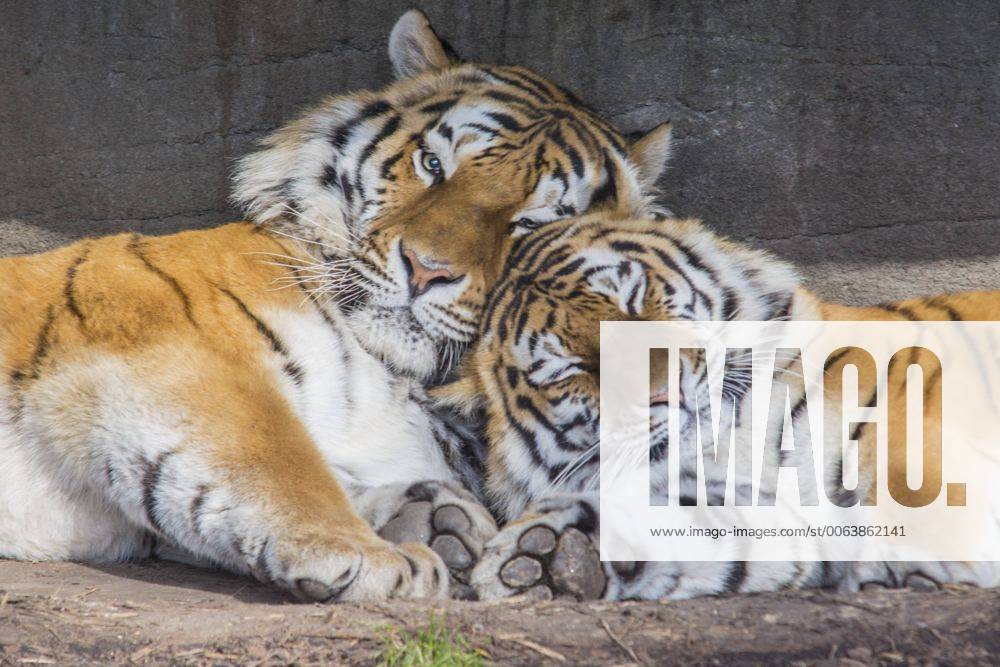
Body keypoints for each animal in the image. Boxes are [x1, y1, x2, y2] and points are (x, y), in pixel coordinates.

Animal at [0, 10, 675, 602]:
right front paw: (377, 555)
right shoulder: (181, 347)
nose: (425, 269)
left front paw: (440, 521)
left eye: (528, 222)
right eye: (433, 164)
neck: (406, 377)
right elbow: (280, 462)